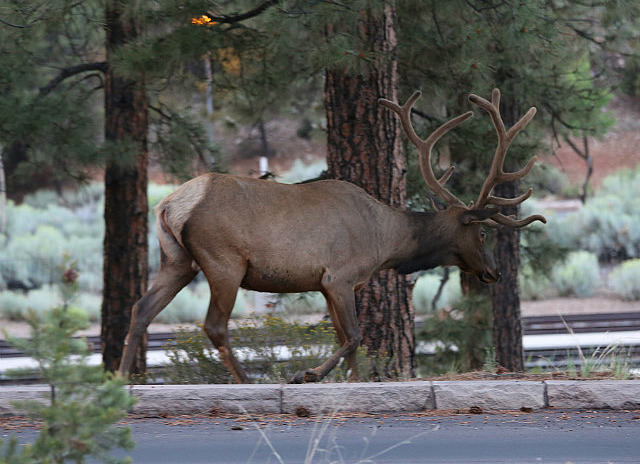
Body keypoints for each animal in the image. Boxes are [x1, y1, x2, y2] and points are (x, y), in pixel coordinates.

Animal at [119, 88, 544, 384]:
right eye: (484, 232)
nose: (495, 272)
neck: (385, 243)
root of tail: (169, 205)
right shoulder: (339, 275)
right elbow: (354, 336)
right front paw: (306, 374)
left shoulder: (329, 285)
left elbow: (347, 338)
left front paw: (351, 381)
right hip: (224, 261)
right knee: (214, 325)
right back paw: (244, 382)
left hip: (177, 260)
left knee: (141, 309)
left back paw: (122, 378)